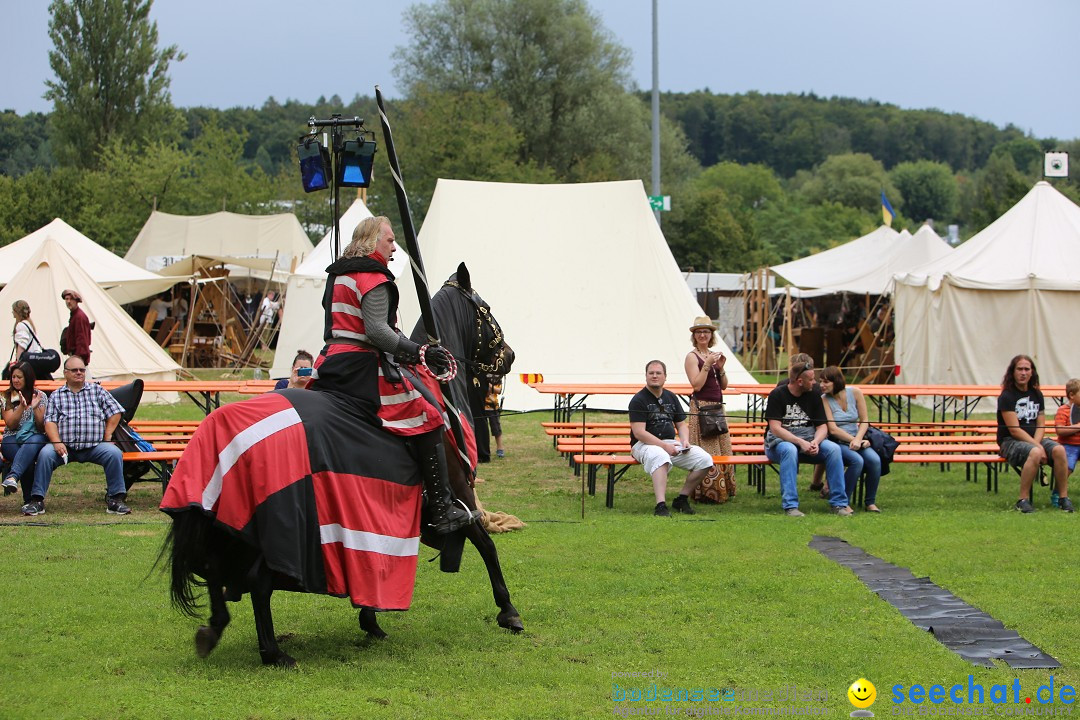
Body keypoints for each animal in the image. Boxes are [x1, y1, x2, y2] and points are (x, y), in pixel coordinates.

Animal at [158, 266, 522, 669]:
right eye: (485, 311)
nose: (509, 355)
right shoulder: (458, 496)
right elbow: (487, 545)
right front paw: (508, 612)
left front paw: (370, 620)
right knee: (257, 581)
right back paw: (272, 652)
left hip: (228, 522)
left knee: (215, 567)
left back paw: (214, 629)